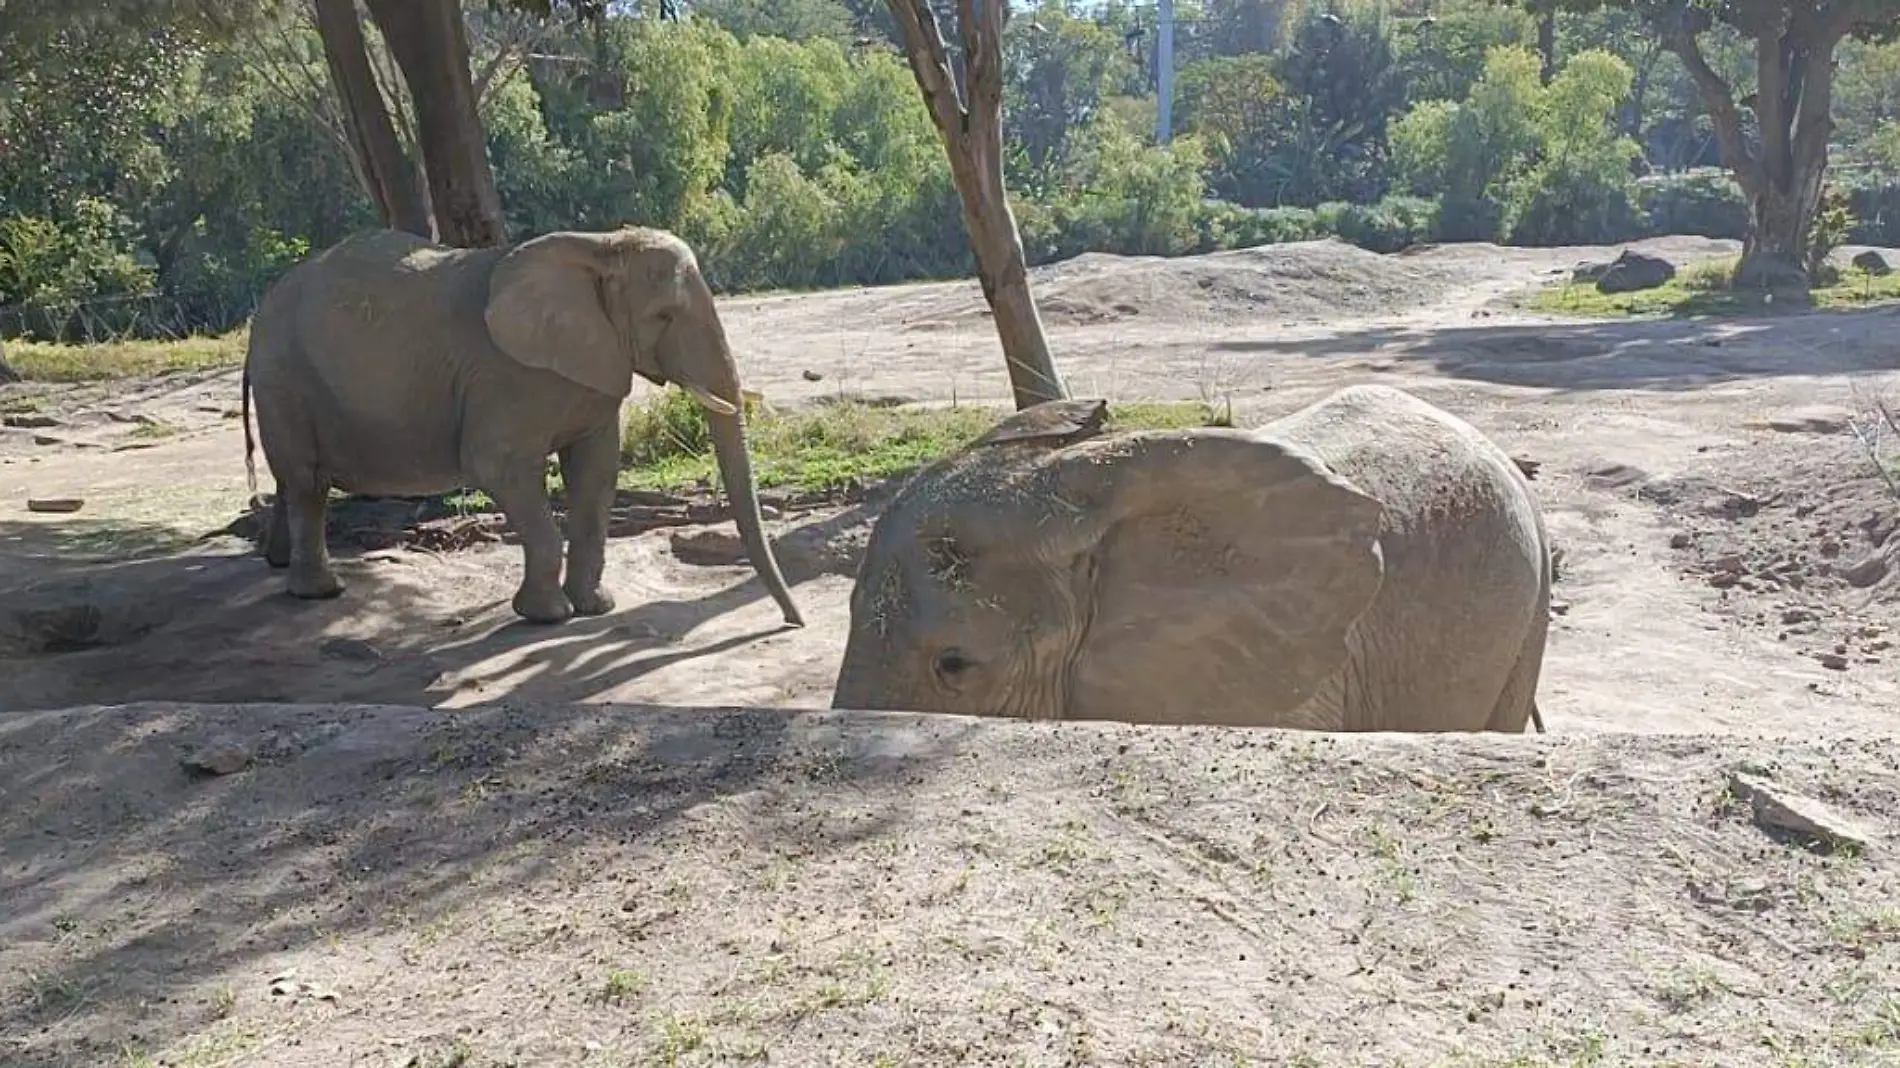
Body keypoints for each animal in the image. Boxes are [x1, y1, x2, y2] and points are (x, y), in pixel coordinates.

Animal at [239, 224, 801, 623]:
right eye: (663, 316)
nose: (792, 622)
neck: (600, 246)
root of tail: (259, 315)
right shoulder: (505, 376)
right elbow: (497, 465)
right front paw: (549, 616)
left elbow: (596, 472)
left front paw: (597, 608)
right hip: (285, 377)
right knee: (307, 480)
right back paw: (320, 591)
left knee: (294, 479)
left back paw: (277, 562)